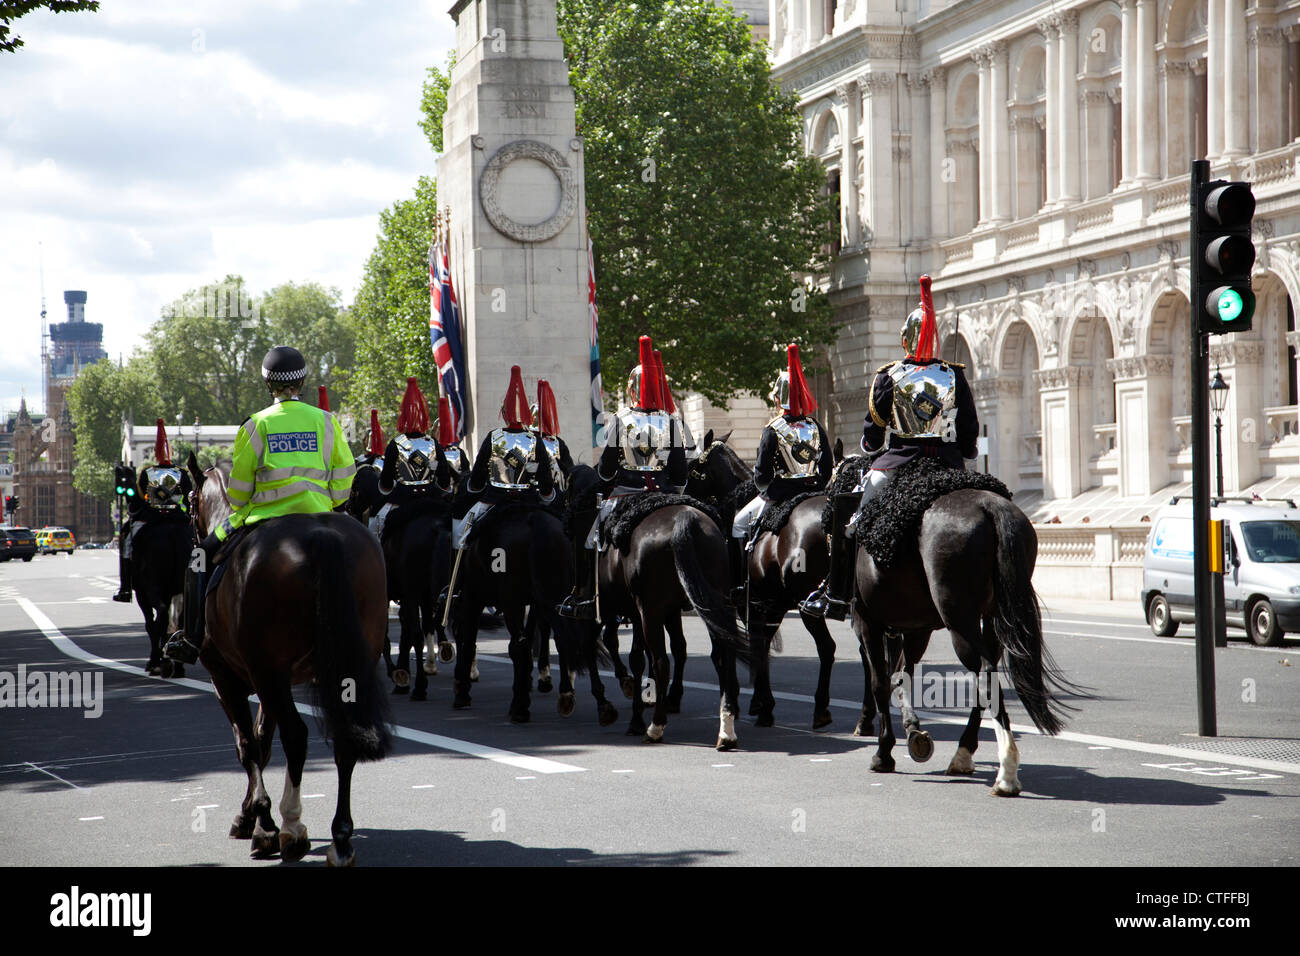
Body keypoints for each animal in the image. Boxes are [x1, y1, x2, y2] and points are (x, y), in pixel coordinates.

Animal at [186, 454, 392, 864]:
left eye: (188, 502)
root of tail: (321, 536)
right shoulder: (267, 682)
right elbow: (263, 742)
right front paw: (252, 814)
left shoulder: (229, 677)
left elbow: (248, 744)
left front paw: (260, 823)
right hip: (342, 668)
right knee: (344, 737)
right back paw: (340, 839)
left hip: (267, 672)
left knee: (296, 735)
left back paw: (290, 828)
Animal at [566, 463, 748, 750]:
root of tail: (686, 519)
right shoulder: (666, 611)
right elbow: (672, 650)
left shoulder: (613, 610)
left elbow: (631, 657)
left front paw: (622, 711)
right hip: (713, 602)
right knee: (724, 655)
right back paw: (726, 728)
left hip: (649, 612)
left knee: (662, 662)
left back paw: (655, 726)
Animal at [849, 481, 1082, 796]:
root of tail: (989, 506)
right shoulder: (916, 628)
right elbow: (901, 675)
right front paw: (913, 732)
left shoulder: (868, 623)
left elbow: (880, 682)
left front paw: (884, 753)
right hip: (993, 618)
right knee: (986, 676)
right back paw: (964, 755)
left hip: (959, 620)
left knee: (984, 672)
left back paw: (1006, 773)